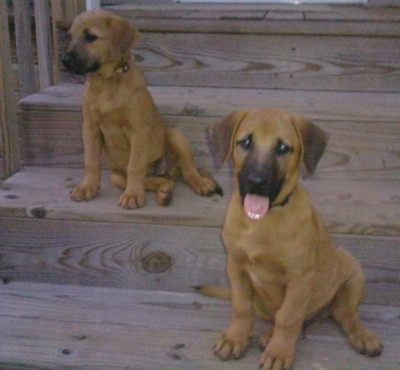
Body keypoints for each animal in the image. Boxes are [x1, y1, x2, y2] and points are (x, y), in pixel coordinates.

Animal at [61, 10, 222, 208]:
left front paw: (132, 195)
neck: (107, 82)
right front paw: (87, 187)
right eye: (69, 36)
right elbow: (90, 161)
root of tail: (166, 170)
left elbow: (135, 166)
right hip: (116, 176)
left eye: (91, 37)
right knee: (157, 180)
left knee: (188, 170)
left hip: (176, 136)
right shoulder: (90, 128)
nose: (64, 61)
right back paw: (164, 191)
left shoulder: (138, 130)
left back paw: (200, 183)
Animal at [202, 107, 382, 370]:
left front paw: (279, 352)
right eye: (245, 142)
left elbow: (288, 317)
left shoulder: (299, 279)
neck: (262, 221)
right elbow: (242, 307)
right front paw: (235, 338)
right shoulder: (235, 266)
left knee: (345, 315)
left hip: (350, 266)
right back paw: (268, 334)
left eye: (283, 148)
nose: (256, 182)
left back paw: (362, 335)